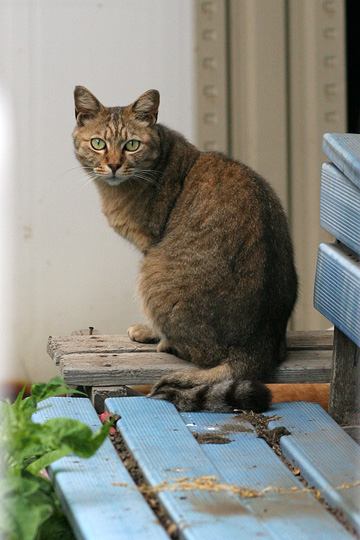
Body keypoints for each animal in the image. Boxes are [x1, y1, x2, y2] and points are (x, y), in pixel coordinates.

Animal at [72, 86, 298, 412]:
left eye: (132, 145)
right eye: (98, 143)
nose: (114, 165)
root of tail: (255, 348)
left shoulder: (149, 245)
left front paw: (148, 331)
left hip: (151, 273)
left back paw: (164, 342)